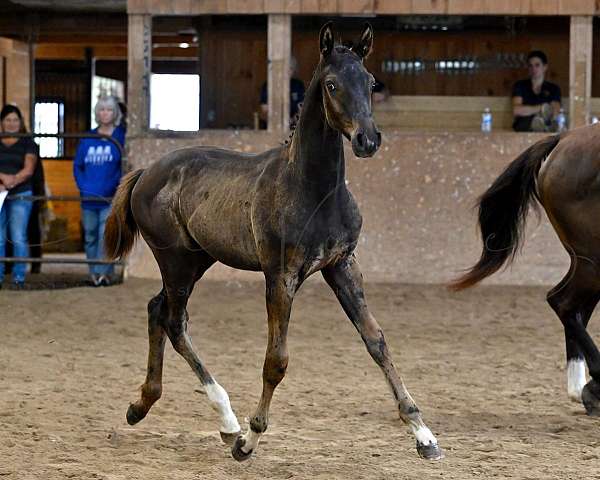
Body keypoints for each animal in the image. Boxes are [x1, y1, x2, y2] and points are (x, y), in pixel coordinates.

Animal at [103, 23, 442, 462]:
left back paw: (145, 406)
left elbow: (377, 342)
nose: (368, 140)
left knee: (157, 309)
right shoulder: (280, 275)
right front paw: (250, 439)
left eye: (369, 82)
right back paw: (226, 421)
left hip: (197, 261)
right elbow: (276, 361)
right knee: (173, 320)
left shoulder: (343, 265)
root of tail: (145, 172)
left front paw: (424, 435)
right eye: (331, 84)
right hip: (175, 260)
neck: (313, 190)